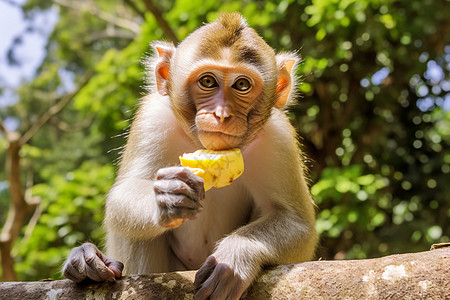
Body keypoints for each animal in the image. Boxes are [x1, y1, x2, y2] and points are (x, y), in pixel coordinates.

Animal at [62, 12, 316, 300]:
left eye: (242, 84)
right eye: (207, 81)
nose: (221, 114)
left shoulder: (278, 140)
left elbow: (296, 223)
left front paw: (234, 257)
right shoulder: (152, 118)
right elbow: (122, 195)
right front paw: (165, 197)